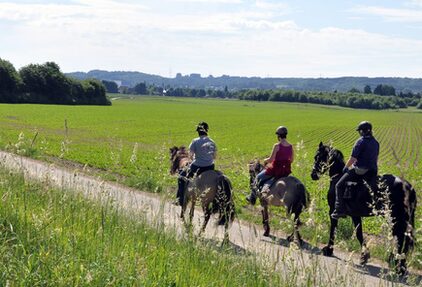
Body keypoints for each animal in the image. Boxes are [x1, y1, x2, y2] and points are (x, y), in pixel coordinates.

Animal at [310, 143, 416, 276]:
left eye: (317, 157)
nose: (313, 175)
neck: (337, 177)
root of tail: (408, 187)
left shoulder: (332, 212)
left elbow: (333, 230)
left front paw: (328, 250)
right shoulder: (355, 215)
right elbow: (359, 233)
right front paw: (364, 255)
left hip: (395, 219)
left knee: (401, 238)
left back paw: (397, 264)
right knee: (403, 239)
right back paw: (399, 265)